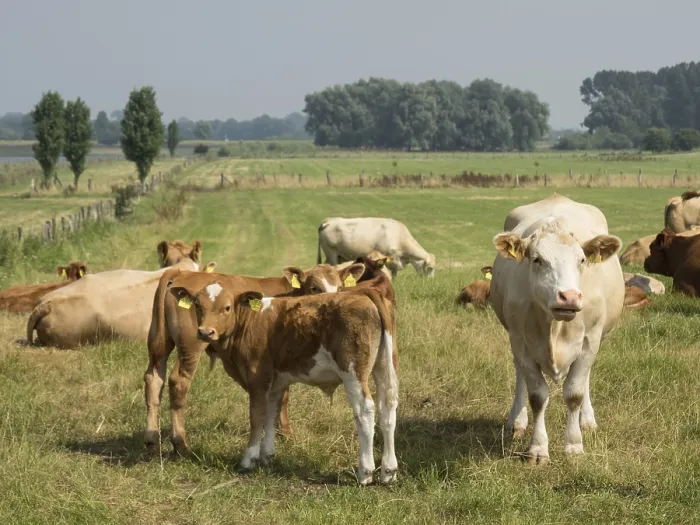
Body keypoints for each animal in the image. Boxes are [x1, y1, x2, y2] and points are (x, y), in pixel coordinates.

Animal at [144, 263, 367, 454]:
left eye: (340, 287)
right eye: (314, 287)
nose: (332, 303)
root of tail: (180, 272)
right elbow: (283, 397)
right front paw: (285, 434)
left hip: (159, 343)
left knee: (153, 379)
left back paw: (152, 439)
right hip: (191, 345)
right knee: (178, 382)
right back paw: (180, 442)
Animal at [166, 276, 398, 485]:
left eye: (227, 307)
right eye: (198, 305)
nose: (205, 332)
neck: (249, 321)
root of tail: (363, 293)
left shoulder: (257, 378)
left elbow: (257, 417)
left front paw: (248, 459)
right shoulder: (276, 382)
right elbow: (271, 414)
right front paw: (267, 456)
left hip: (353, 372)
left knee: (365, 411)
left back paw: (365, 473)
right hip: (384, 365)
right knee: (387, 409)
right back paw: (388, 471)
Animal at [490, 194, 624, 463]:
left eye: (581, 260)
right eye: (537, 259)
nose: (569, 297)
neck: (555, 326)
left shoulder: (590, 341)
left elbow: (574, 393)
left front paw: (574, 445)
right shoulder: (520, 341)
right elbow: (537, 396)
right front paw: (538, 448)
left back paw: (587, 419)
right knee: (520, 375)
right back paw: (517, 421)